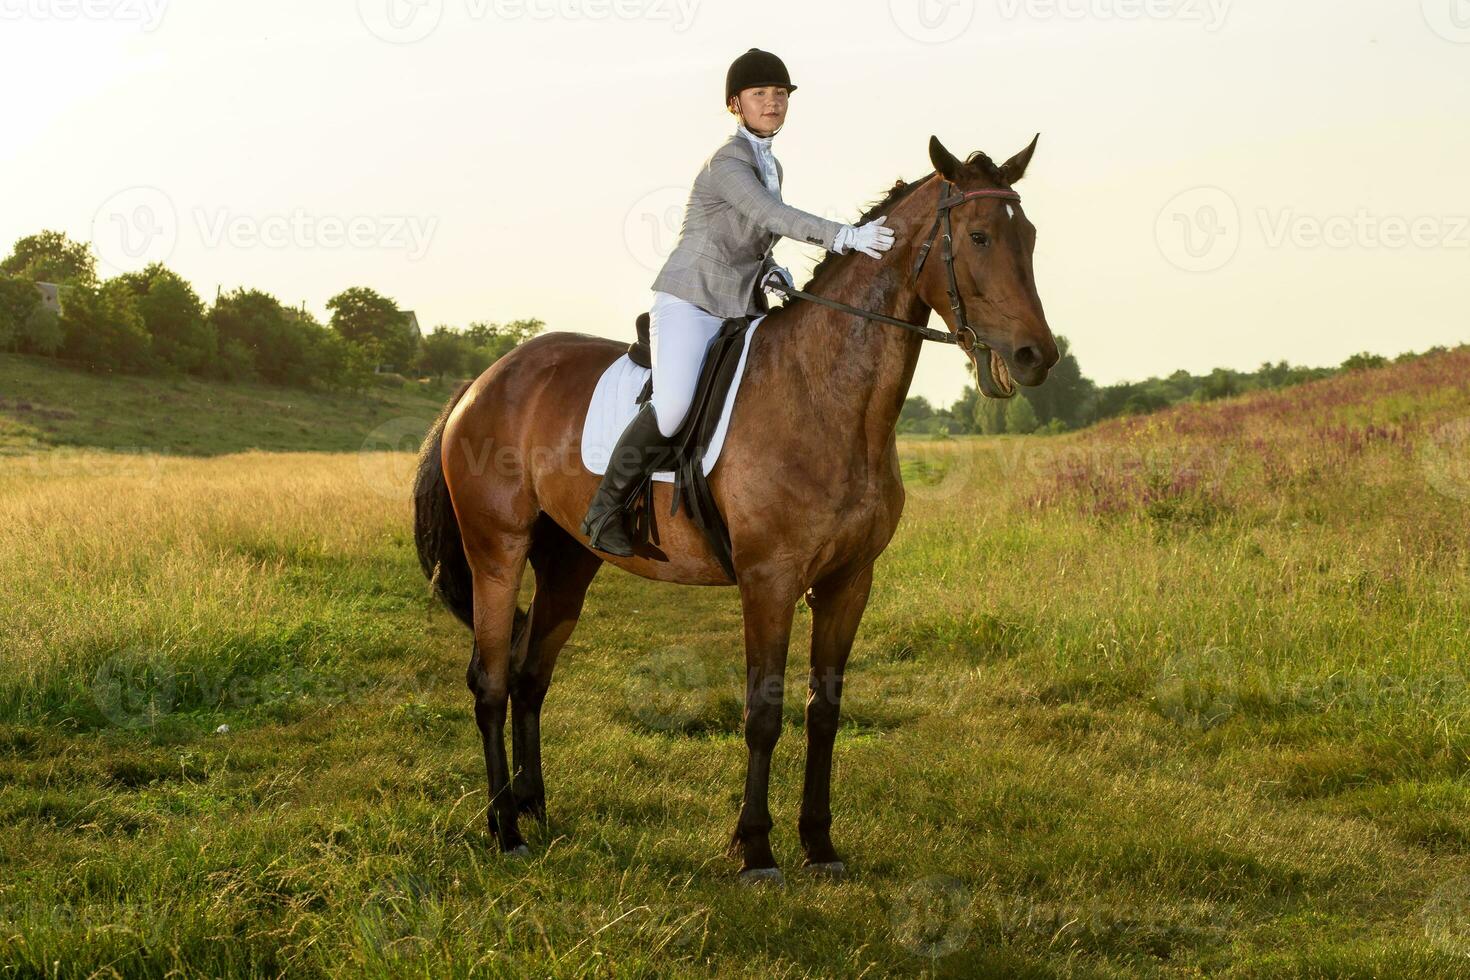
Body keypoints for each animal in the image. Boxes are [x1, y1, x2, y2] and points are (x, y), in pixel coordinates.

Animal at [414, 135, 1058, 881]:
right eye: (979, 236)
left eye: (1030, 237)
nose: (1037, 357)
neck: (827, 394)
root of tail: (483, 381)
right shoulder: (768, 580)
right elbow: (763, 713)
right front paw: (754, 850)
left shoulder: (849, 582)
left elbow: (824, 711)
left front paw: (819, 845)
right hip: (497, 551)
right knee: (490, 680)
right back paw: (505, 830)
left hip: (568, 563)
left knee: (528, 677)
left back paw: (534, 809)